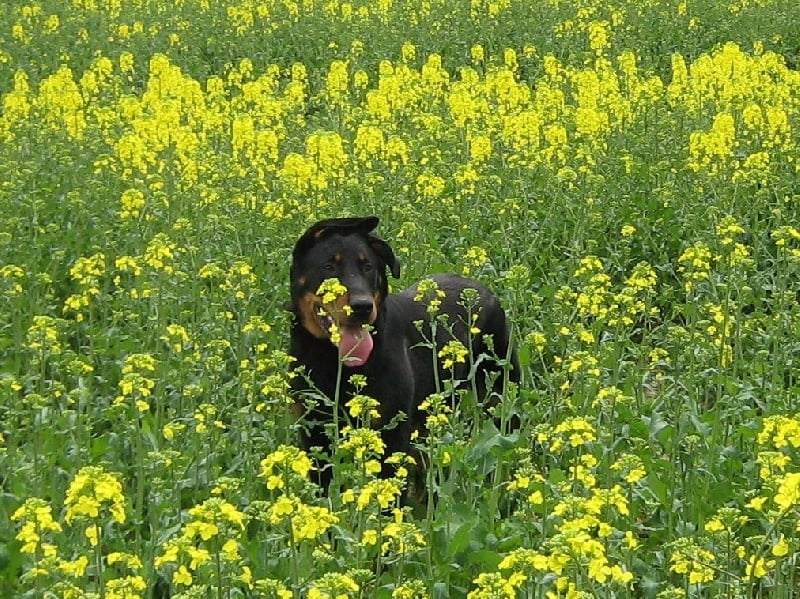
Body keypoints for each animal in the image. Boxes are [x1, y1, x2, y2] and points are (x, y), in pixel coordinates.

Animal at [289, 216, 517, 489]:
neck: (333, 361)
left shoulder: (392, 436)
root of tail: (486, 290)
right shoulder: (314, 433)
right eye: (328, 266)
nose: (363, 306)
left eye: (369, 267)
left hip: (501, 395)